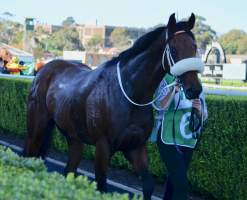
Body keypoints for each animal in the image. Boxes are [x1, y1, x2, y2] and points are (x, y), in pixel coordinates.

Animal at [23, 13, 203, 199]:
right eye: (173, 49)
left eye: (195, 47)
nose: (194, 89)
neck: (129, 94)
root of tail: (44, 69)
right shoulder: (103, 146)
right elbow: (102, 185)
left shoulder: (135, 146)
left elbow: (148, 185)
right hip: (37, 128)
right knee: (30, 153)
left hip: (74, 137)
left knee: (69, 169)